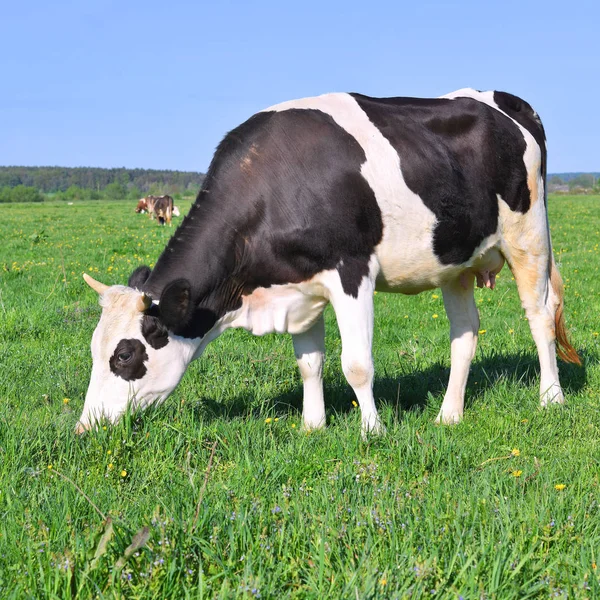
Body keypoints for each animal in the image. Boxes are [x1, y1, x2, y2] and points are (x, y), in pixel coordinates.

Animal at [76, 89, 580, 434]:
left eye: (124, 354)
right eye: (95, 349)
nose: (86, 426)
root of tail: (504, 99)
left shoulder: (351, 272)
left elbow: (356, 363)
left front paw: (372, 431)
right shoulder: (299, 288)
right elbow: (309, 363)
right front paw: (312, 426)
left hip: (529, 236)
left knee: (539, 316)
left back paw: (551, 398)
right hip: (454, 260)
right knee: (465, 333)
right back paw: (449, 414)